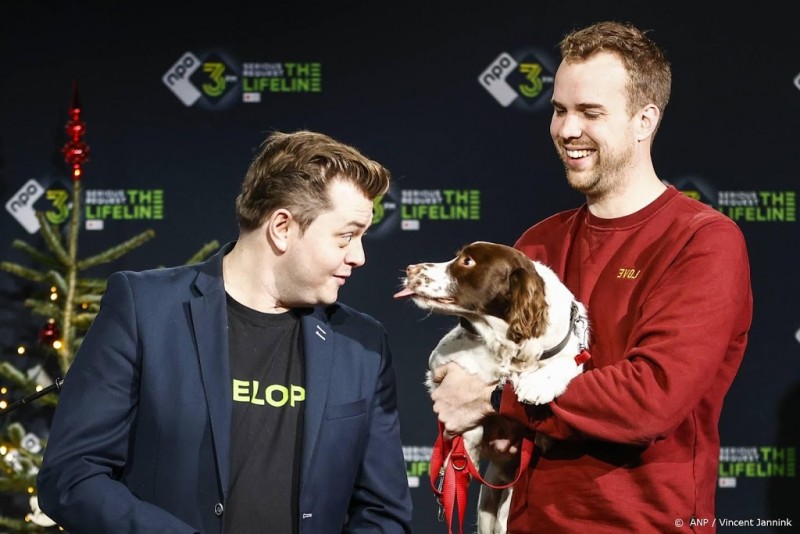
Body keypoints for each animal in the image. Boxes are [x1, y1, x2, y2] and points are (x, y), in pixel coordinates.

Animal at [394, 241, 590, 534]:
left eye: (467, 262)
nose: (410, 269)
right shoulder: (441, 361)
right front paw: (465, 449)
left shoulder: (572, 352)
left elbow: (567, 362)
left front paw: (537, 384)